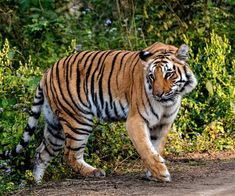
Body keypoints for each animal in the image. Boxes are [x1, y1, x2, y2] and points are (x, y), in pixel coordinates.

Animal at [0, 42, 197, 183]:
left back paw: (37, 183)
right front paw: (161, 173)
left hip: (54, 125)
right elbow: (145, 148)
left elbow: (155, 147)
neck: (168, 102)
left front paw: (152, 173)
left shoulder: (164, 123)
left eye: (169, 74)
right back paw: (95, 172)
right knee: (69, 155)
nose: (158, 94)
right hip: (79, 120)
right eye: (151, 76)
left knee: (42, 153)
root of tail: (47, 71)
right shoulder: (136, 120)